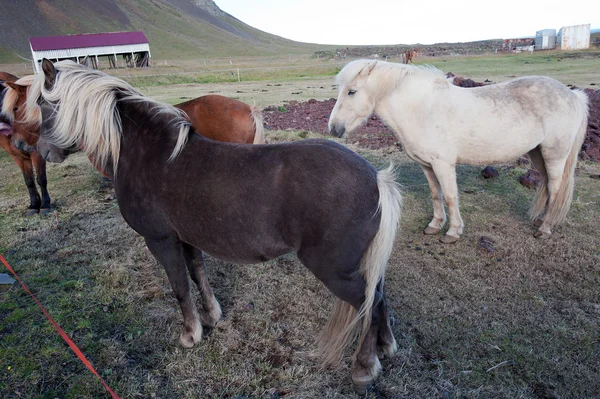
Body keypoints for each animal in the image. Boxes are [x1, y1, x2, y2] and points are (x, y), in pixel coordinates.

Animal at [0, 72, 51, 216]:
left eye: (15, 108)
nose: (17, 142)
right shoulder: (18, 156)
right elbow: (29, 181)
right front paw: (34, 205)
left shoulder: (37, 153)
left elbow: (41, 179)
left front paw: (45, 205)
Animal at [27, 59, 404, 394]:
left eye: (43, 104)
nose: (42, 151)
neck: (148, 154)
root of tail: (376, 178)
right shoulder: (186, 237)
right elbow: (198, 275)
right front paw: (210, 318)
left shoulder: (160, 240)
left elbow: (180, 286)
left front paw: (190, 334)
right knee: (379, 294)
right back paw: (385, 346)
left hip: (334, 270)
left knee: (368, 303)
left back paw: (364, 368)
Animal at [328, 57, 584, 242]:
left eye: (352, 91)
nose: (333, 128)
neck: (422, 108)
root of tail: (573, 94)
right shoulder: (427, 165)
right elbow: (436, 194)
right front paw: (434, 225)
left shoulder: (443, 165)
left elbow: (451, 196)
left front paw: (452, 232)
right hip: (538, 154)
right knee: (547, 187)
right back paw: (540, 221)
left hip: (554, 155)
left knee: (555, 189)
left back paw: (545, 229)